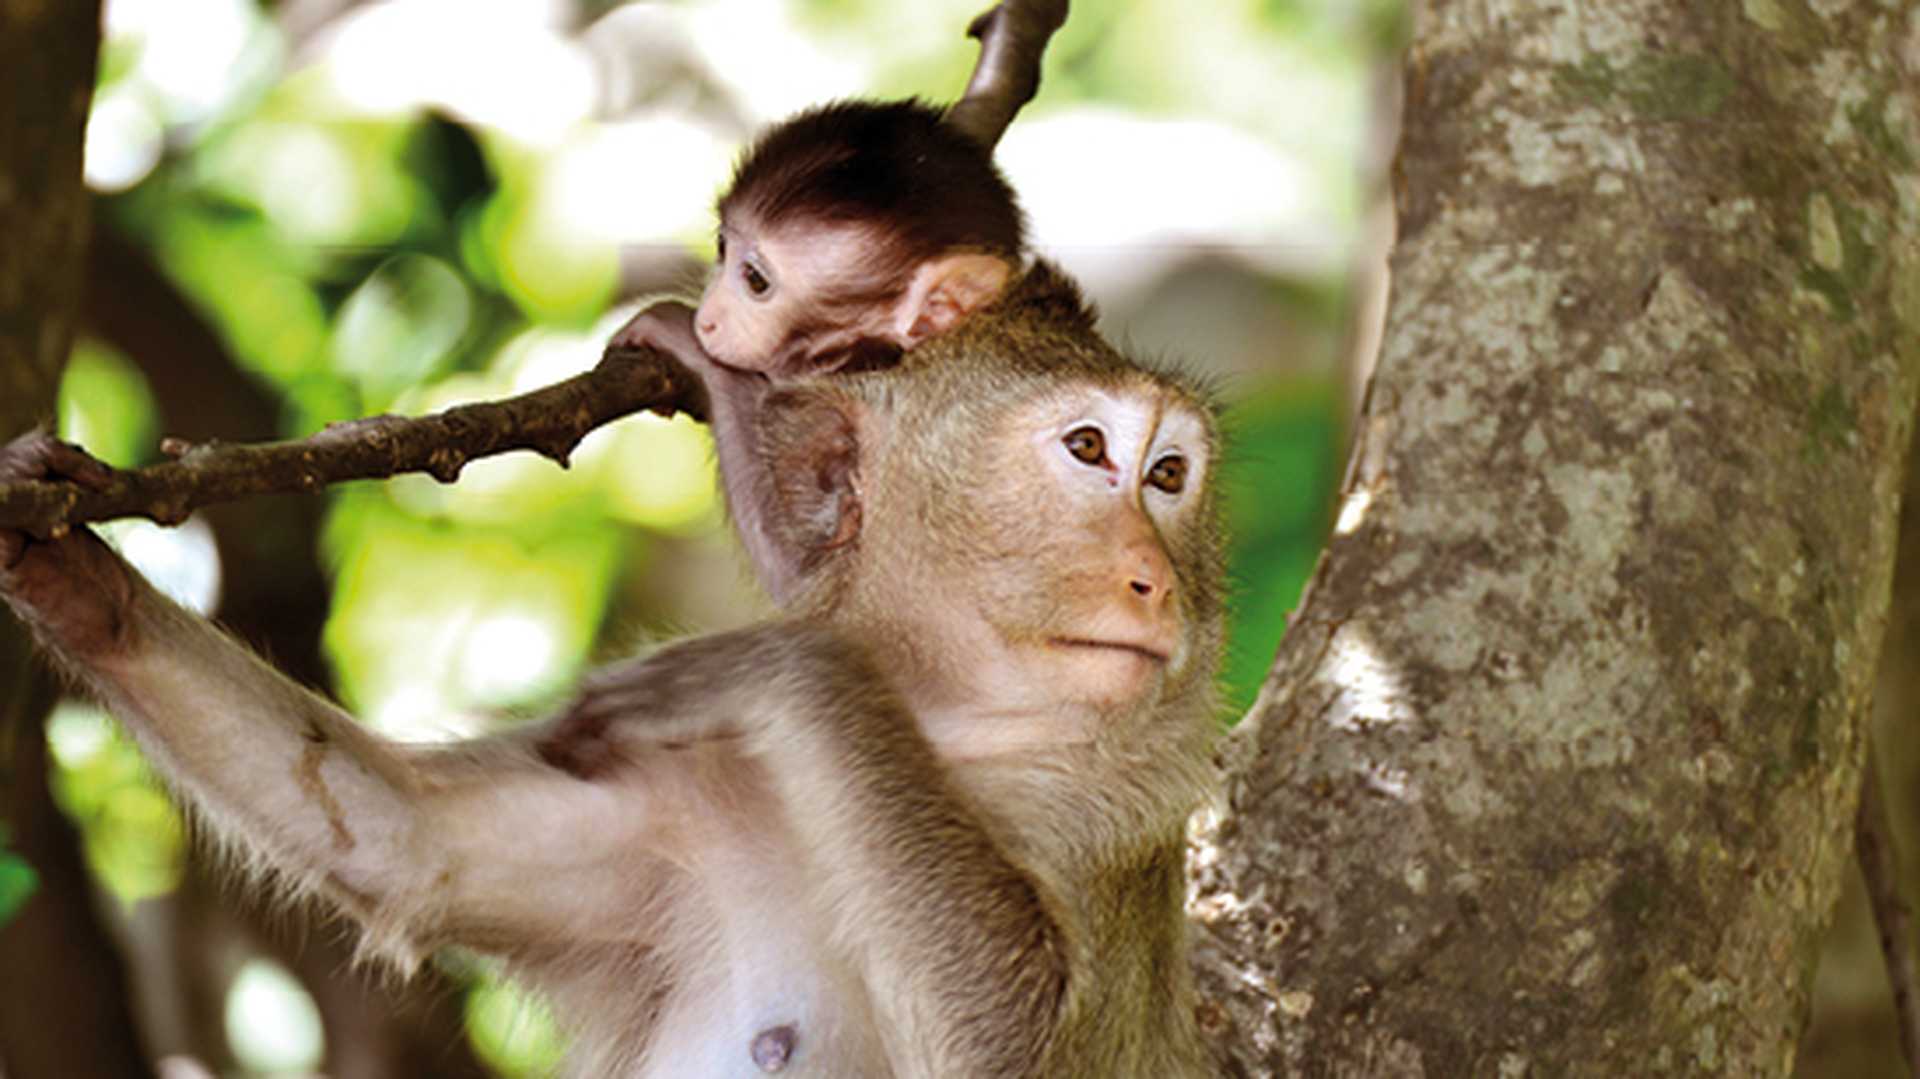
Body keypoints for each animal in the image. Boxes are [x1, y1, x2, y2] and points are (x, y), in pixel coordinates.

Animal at [0, 261, 1224, 1077]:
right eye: (1089, 452)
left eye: (1168, 475)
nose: (1153, 579)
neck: (941, 722)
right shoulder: (682, 801)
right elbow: (404, 839)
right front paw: (74, 574)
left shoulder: (1115, 835)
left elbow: (1023, 1048)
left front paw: (784, 664)